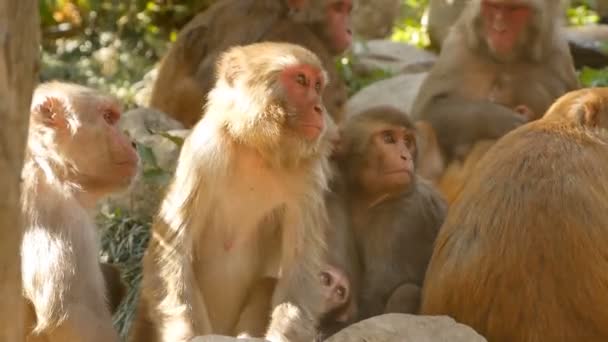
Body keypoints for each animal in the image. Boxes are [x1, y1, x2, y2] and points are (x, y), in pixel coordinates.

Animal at [132, 42, 352, 342]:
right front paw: (185, 334)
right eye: (301, 80)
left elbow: (299, 271)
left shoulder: (309, 177)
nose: (320, 108)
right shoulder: (203, 150)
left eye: (318, 85)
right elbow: (172, 248)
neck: (257, 149)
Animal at [330, 107, 448, 324]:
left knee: (406, 291)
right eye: (388, 139)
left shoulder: (404, 220)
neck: (372, 200)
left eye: (407, 141)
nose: (405, 156)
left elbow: (378, 295)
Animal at [410, 0, 576, 164]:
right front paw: (498, 119)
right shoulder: (458, 47)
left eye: (515, 9)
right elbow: (428, 109)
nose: (499, 29)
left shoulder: (557, 54)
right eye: (493, 5)